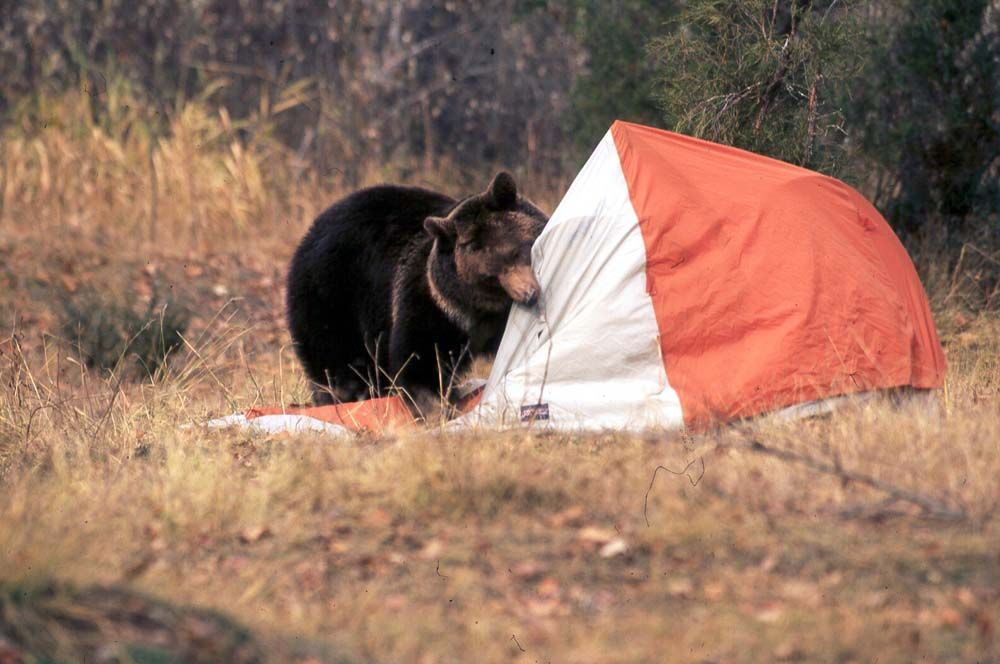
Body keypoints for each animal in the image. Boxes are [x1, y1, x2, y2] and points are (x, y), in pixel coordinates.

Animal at [285, 171, 548, 412]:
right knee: (339, 364)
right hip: (332, 297)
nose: (529, 293)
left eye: (519, 253)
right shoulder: (428, 304)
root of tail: (311, 232)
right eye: (491, 276)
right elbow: (420, 360)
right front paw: (434, 407)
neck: (477, 312)